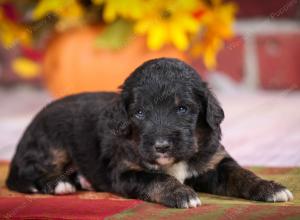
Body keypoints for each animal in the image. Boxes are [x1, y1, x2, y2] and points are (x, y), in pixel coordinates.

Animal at [6, 57, 292, 207]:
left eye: (182, 108)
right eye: (139, 113)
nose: (162, 146)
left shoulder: (215, 161)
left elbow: (241, 174)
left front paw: (270, 188)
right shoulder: (124, 171)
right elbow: (156, 179)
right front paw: (181, 193)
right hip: (52, 145)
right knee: (21, 175)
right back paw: (58, 183)